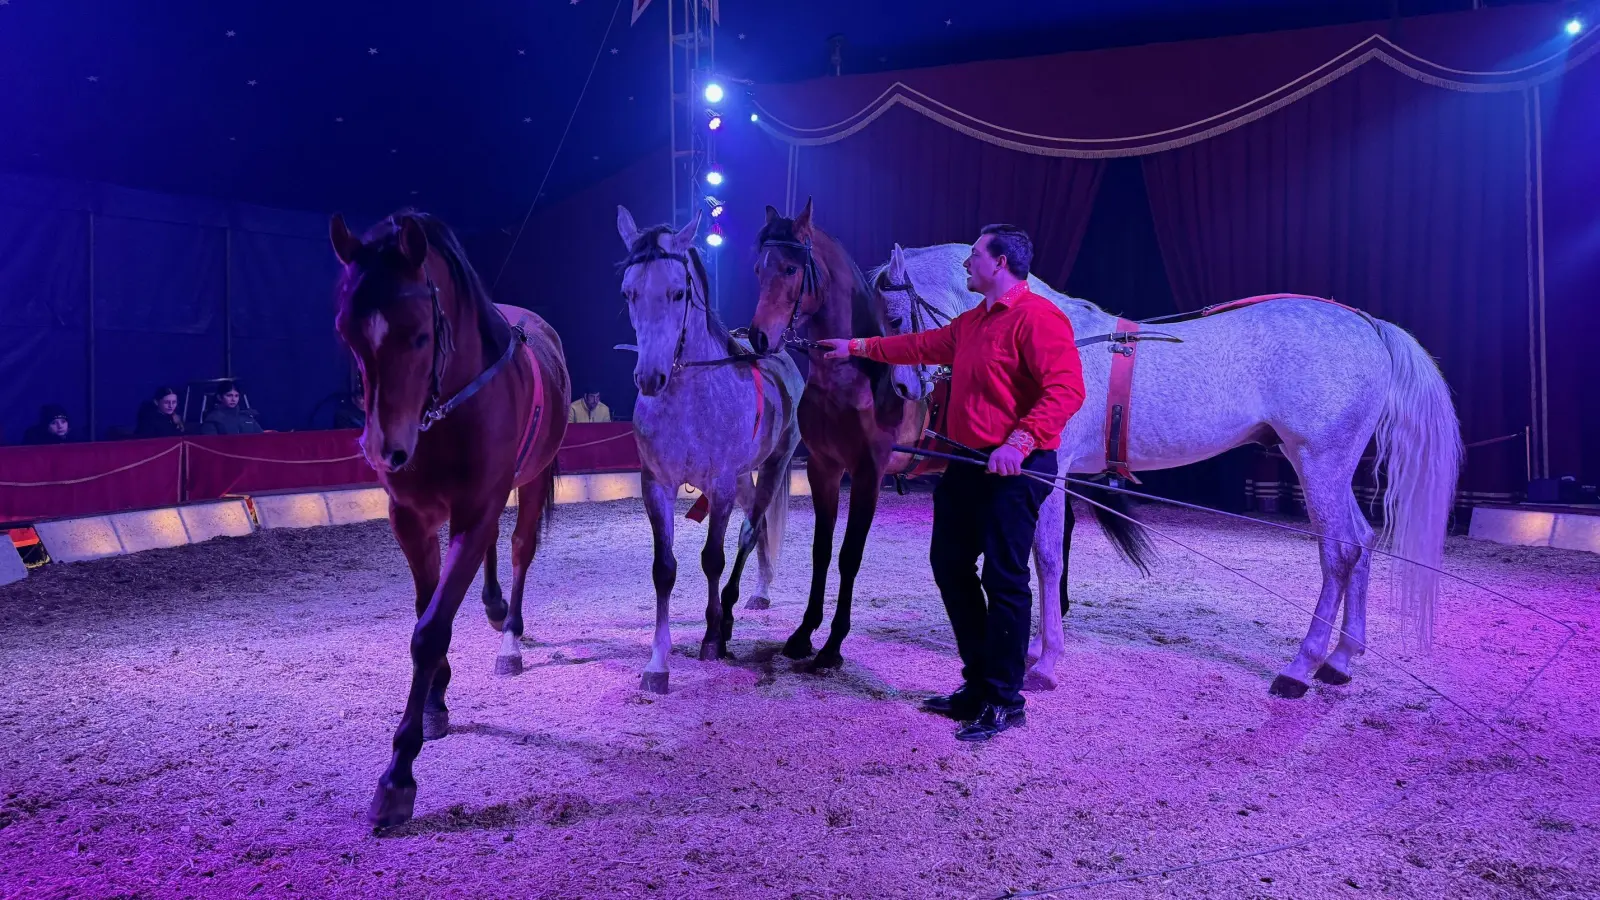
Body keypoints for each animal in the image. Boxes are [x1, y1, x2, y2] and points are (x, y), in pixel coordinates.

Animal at [328, 209, 572, 826]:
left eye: (419, 332)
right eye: (346, 333)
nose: (384, 449)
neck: (447, 411)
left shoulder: (478, 507)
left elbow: (431, 628)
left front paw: (398, 776)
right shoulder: (411, 518)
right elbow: (427, 608)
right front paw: (437, 697)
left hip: (530, 480)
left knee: (520, 548)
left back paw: (509, 634)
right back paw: (491, 606)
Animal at [617, 206, 806, 688]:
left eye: (678, 292)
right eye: (629, 293)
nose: (650, 378)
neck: (688, 398)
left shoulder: (718, 488)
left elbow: (713, 559)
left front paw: (711, 637)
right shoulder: (656, 486)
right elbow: (664, 570)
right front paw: (657, 663)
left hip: (773, 465)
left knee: (750, 531)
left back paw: (734, 612)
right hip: (742, 477)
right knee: (757, 529)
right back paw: (758, 592)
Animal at [739, 203, 928, 666]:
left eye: (790, 268)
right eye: (758, 269)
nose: (759, 337)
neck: (850, 378)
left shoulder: (866, 475)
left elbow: (849, 555)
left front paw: (833, 644)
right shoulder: (824, 470)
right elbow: (821, 552)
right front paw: (804, 633)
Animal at [876, 241, 1465, 698]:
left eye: (895, 317)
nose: (903, 389)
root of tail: (1369, 327)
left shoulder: (1048, 473)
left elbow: (1044, 559)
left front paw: (1045, 662)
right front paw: (1041, 646)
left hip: (1319, 461)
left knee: (1339, 552)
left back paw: (1300, 667)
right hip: (1326, 466)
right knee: (1361, 542)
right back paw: (1340, 660)